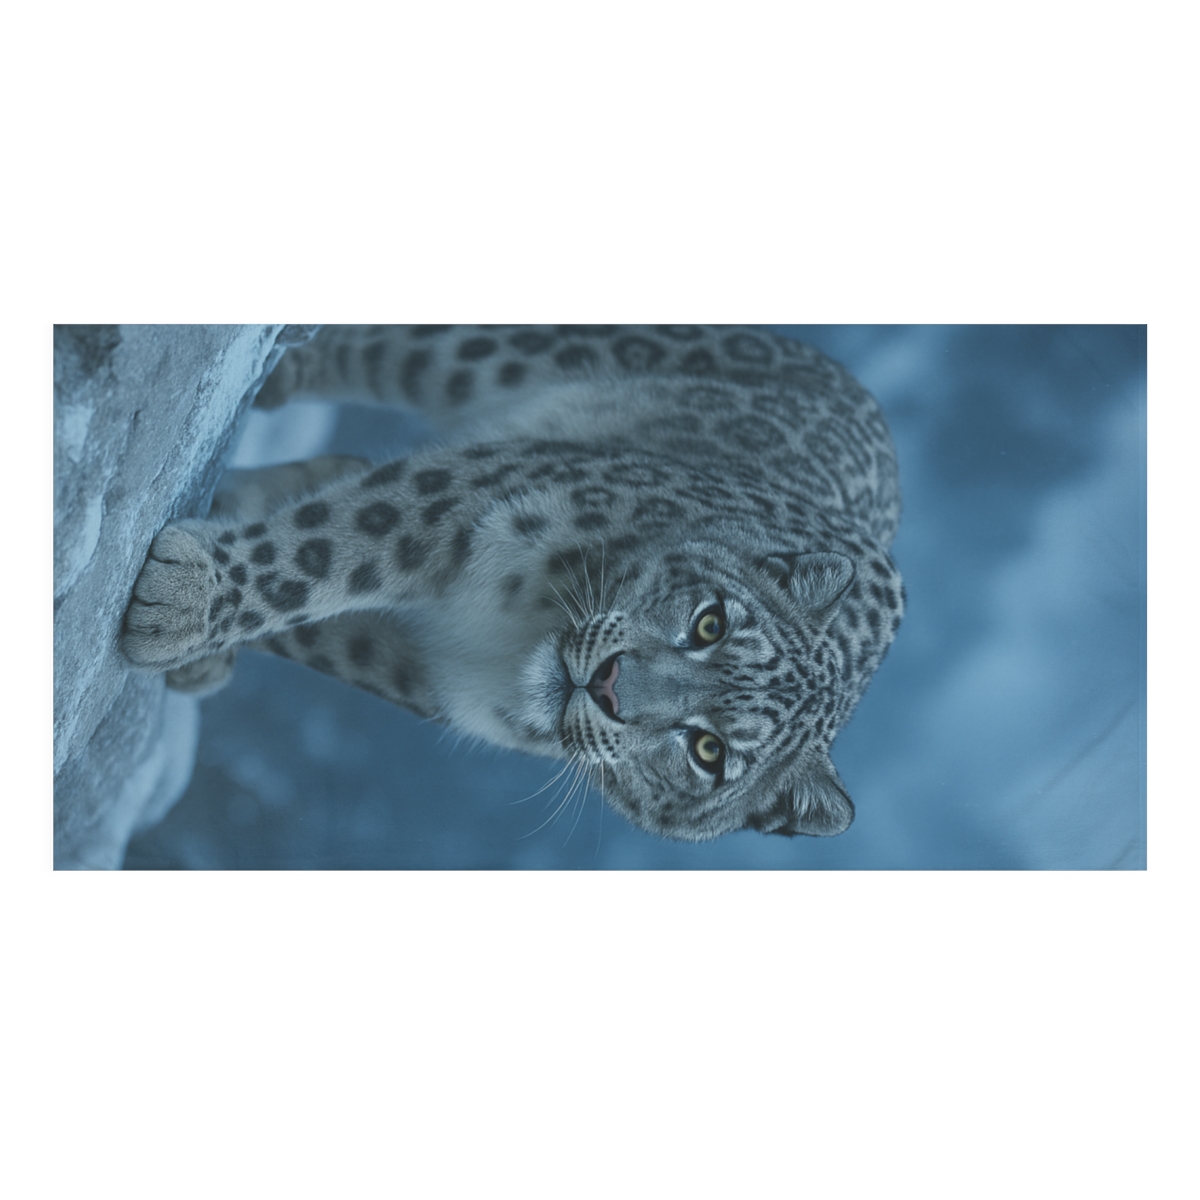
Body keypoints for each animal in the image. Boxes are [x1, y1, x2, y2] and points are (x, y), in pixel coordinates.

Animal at [121, 325, 904, 841]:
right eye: (710, 621)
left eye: (709, 753)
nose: (608, 683)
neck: (511, 633)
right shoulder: (476, 494)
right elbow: (332, 549)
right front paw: (184, 602)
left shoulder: (423, 671)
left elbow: (318, 613)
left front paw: (189, 623)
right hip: (487, 356)